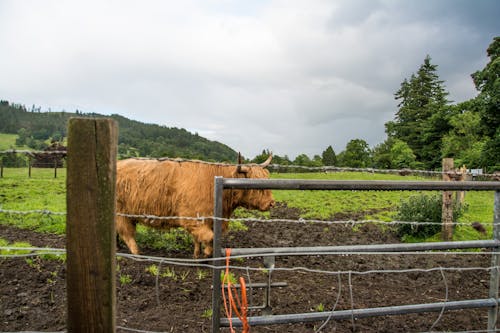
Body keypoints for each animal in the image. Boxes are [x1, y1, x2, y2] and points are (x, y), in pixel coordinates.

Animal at [115, 155, 276, 256]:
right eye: (257, 185)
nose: (272, 203)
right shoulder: (193, 218)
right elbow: (210, 238)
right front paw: (206, 254)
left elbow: (198, 239)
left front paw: (197, 255)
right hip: (120, 212)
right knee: (126, 233)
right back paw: (137, 253)